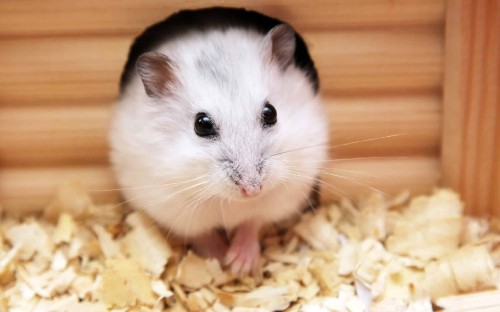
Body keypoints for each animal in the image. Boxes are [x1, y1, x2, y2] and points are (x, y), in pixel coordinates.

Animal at [109, 6, 328, 272]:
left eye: (271, 113)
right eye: (201, 125)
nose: (252, 190)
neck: (230, 201)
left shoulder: (277, 199)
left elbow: (252, 223)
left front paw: (239, 265)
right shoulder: (175, 209)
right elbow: (203, 235)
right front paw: (221, 259)